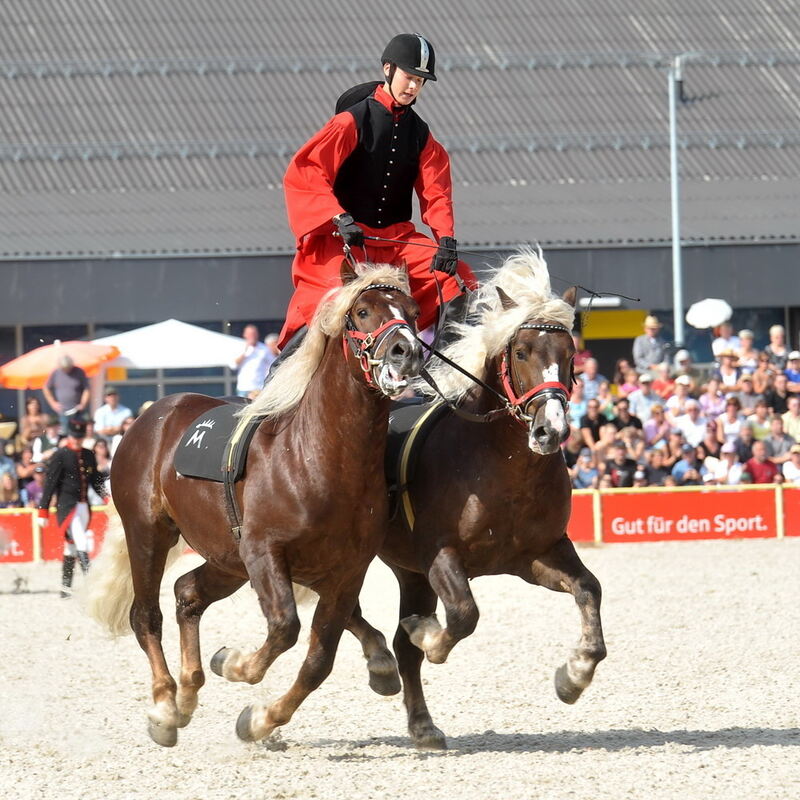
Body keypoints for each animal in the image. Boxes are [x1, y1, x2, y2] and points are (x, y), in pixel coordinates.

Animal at [86, 262, 424, 752]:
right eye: (362, 311)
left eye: (413, 312)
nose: (407, 352)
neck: (314, 456)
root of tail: (153, 414)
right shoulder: (264, 553)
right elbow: (285, 627)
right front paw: (235, 665)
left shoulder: (347, 570)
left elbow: (319, 658)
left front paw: (260, 719)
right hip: (150, 534)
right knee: (145, 615)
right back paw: (166, 706)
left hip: (226, 556)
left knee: (188, 593)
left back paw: (188, 690)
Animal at [346, 252, 608, 752]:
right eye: (521, 352)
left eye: (570, 355)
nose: (551, 430)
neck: (503, 469)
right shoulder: (441, 556)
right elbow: (464, 615)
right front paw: (428, 636)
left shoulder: (537, 556)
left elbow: (589, 589)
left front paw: (575, 674)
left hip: (410, 572)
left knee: (399, 648)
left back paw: (422, 724)